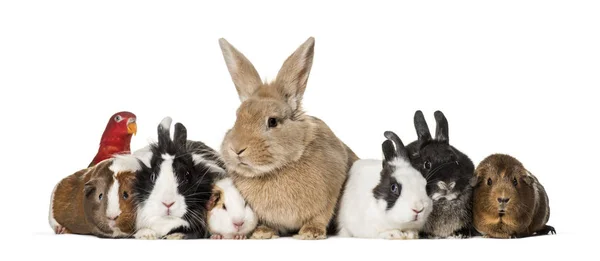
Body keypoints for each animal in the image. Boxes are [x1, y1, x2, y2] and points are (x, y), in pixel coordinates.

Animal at [218, 36, 358, 238]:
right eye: (237, 117)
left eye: (273, 121)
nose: (236, 148)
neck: (278, 169)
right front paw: (262, 232)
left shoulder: (330, 193)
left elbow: (321, 215)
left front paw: (311, 233)